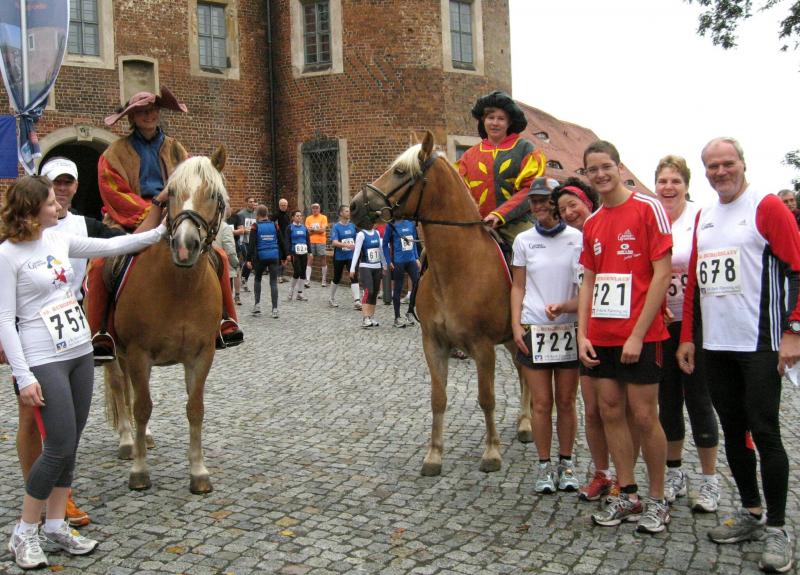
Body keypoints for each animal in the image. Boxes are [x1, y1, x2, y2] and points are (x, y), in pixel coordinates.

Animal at [92, 147, 228, 493]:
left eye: (212, 195)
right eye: (172, 192)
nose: (185, 245)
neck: (179, 286)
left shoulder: (201, 355)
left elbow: (195, 409)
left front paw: (198, 472)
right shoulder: (140, 353)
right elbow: (142, 407)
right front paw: (140, 471)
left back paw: (146, 438)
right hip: (114, 351)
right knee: (120, 387)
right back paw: (128, 441)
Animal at [350, 131, 532, 476]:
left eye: (399, 171)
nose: (354, 206)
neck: (457, 266)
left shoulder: (483, 346)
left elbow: (487, 398)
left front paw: (491, 452)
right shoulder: (434, 343)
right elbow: (438, 397)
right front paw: (434, 455)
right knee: (522, 368)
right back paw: (526, 422)